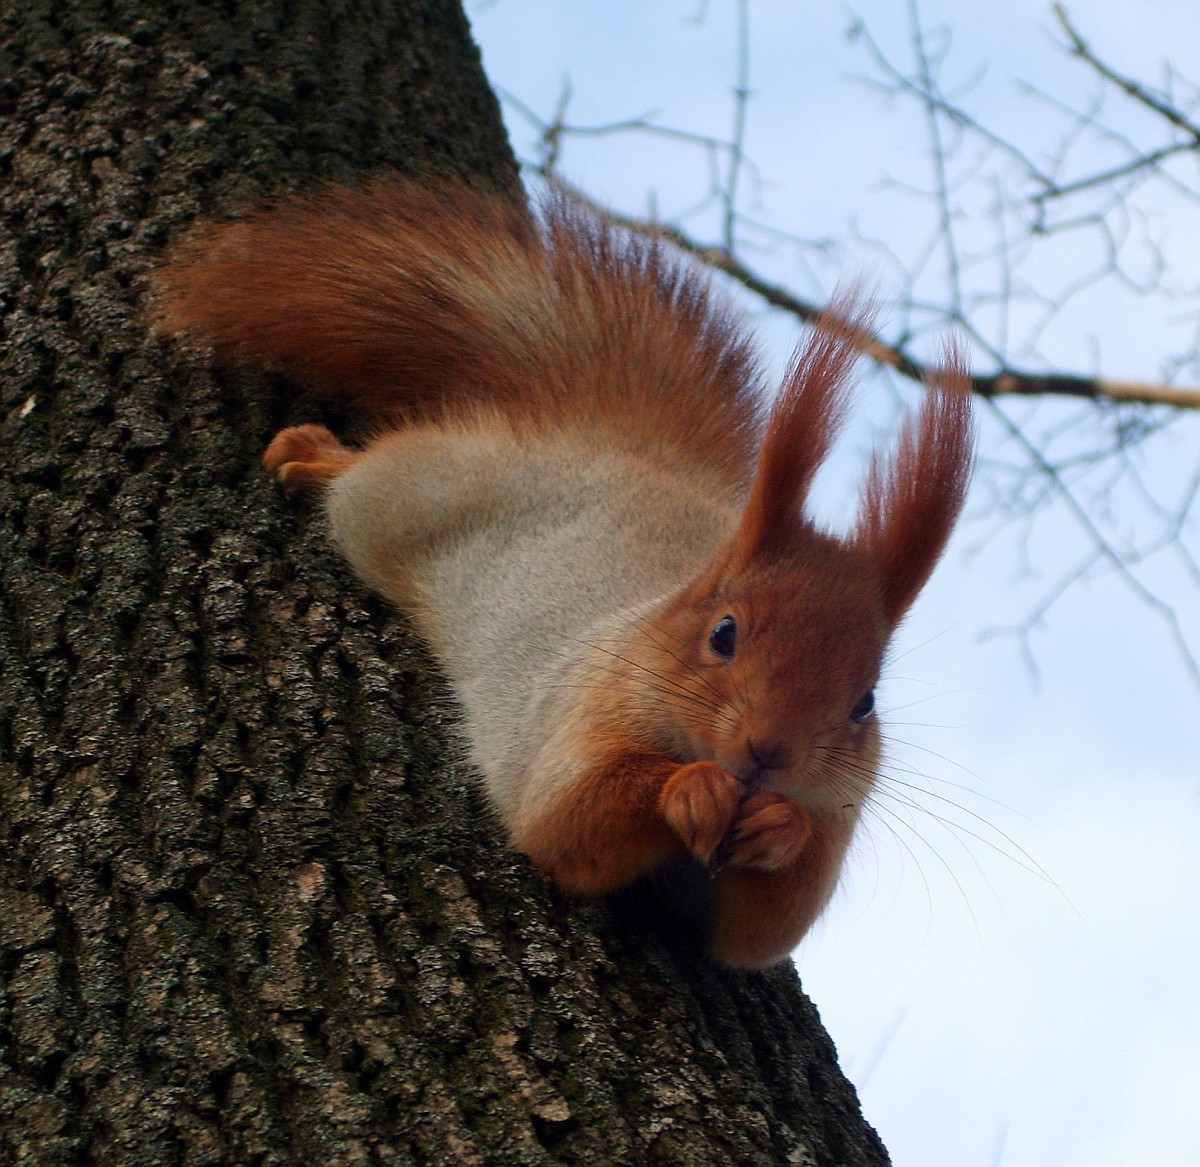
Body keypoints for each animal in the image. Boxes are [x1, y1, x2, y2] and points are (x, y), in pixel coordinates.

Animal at [152, 180, 974, 965]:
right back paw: (316, 454)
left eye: (865, 702)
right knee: (366, 477)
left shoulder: (828, 826)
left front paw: (781, 824)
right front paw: (693, 787)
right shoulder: (575, 707)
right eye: (724, 633)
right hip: (402, 496)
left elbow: (759, 932)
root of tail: (598, 442)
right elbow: (568, 822)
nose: (769, 753)